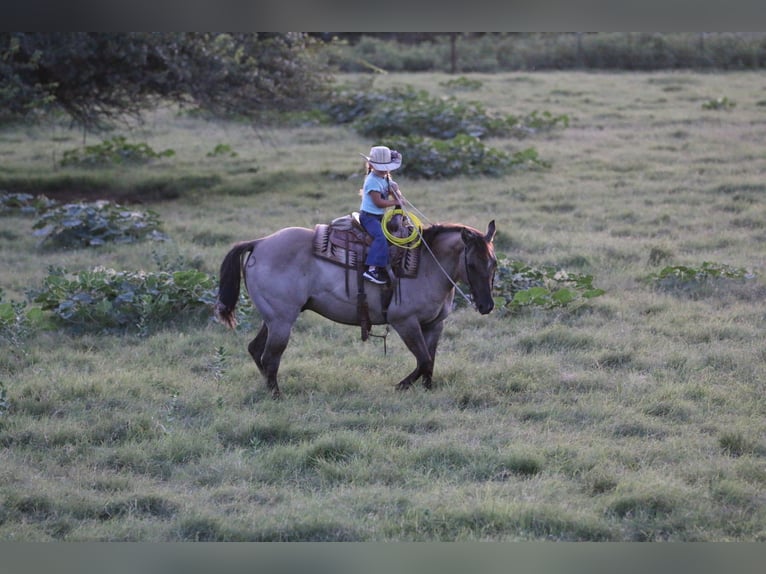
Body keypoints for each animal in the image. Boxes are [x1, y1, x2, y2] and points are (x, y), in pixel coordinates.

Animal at [215, 219, 497, 398]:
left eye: (493, 263)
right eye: (472, 264)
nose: (487, 306)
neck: (427, 264)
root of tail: (260, 242)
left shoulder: (434, 325)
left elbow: (429, 361)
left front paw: (426, 390)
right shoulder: (404, 322)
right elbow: (424, 359)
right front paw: (401, 386)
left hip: (272, 319)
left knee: (256, 350)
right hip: (282, 321)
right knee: (270, 357)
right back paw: (276, 396)